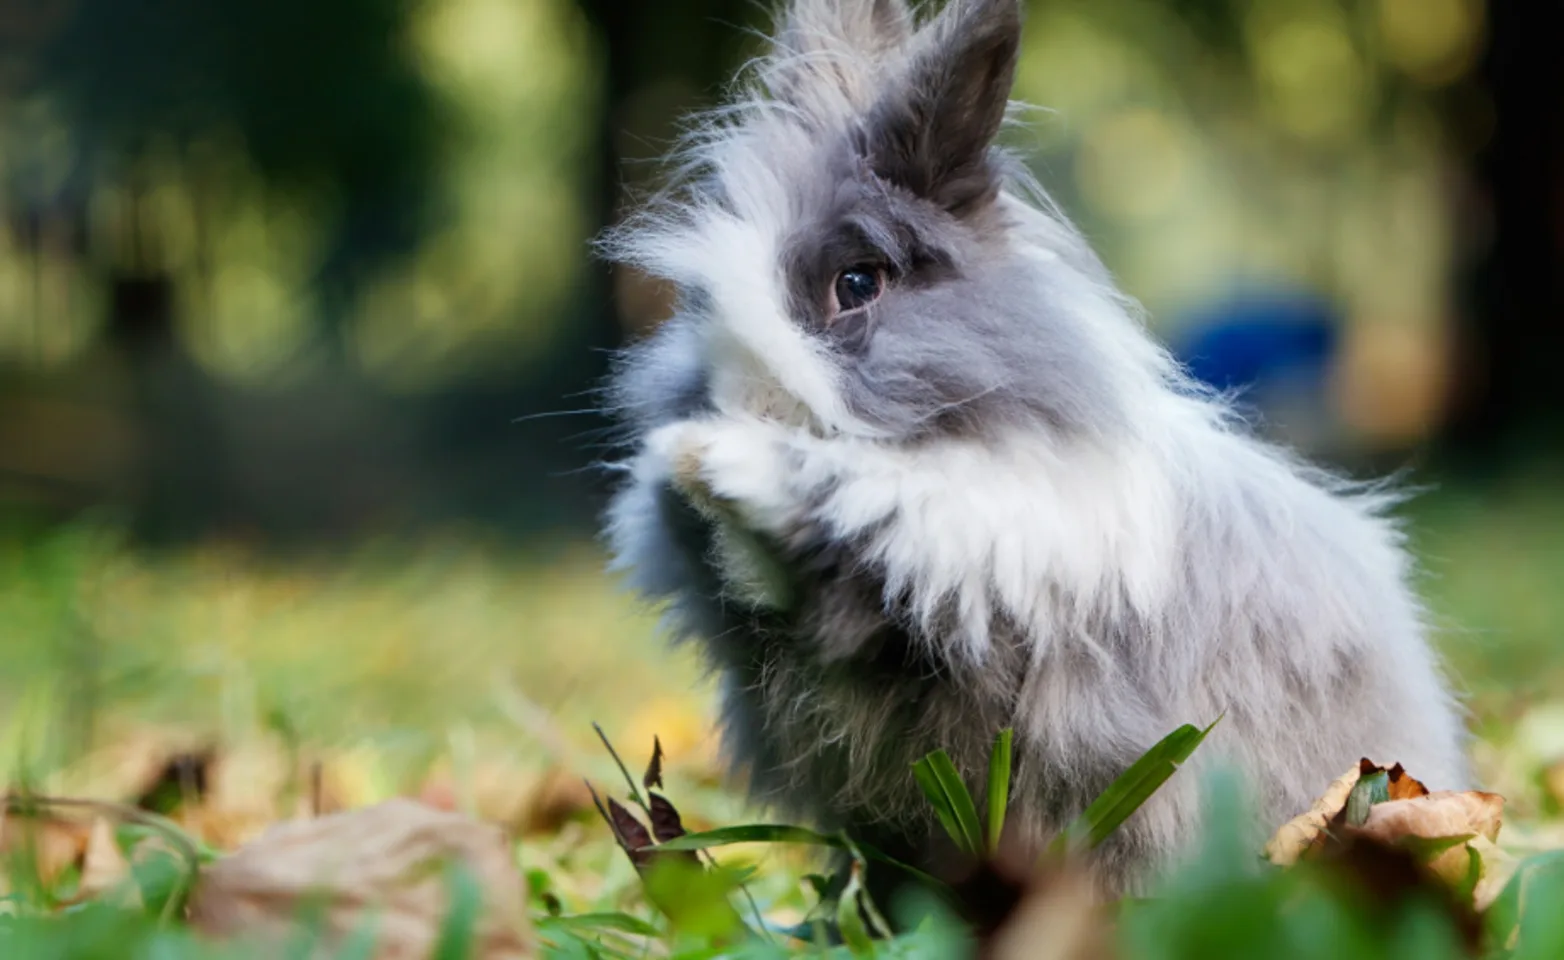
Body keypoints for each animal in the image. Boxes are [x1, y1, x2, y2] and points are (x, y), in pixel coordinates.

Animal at [591, 0, 1470, 913]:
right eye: (698, 302)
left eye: (858, 285)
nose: (732, 406)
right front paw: (692, 476)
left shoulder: (995, 532)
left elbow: (871, 507)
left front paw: (721, 463)